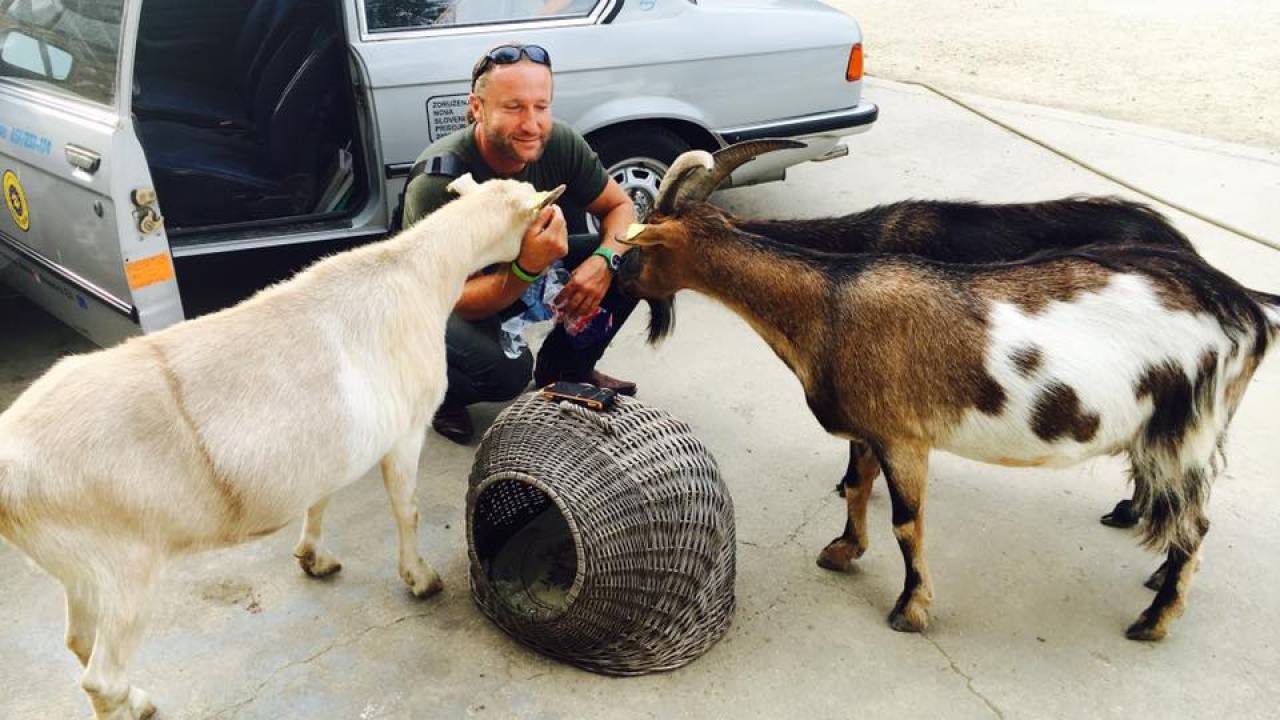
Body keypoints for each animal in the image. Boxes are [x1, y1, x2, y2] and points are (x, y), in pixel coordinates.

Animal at [0, 176, 563, 720]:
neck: (417, 272)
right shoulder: (406, 428)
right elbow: (408, 511)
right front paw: (420, 579)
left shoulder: (328, 448)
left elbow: (320, 500)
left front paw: (313, 557)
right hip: (124, 566)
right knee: (101, 678)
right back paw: (135, 703)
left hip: (79, 566)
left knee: (78, 639)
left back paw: (137, 699)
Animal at [618, 143, 1280, 640]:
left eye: (636, 254)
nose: (616, 285)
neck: (830, 301)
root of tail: (1246, 309)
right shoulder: (871, 428)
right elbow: (857, 485)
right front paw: (842, 550)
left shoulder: (905, 437)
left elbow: (908, 523)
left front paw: (910, 609)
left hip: (1185, 431)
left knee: (1195, 527)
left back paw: (1154, 619)